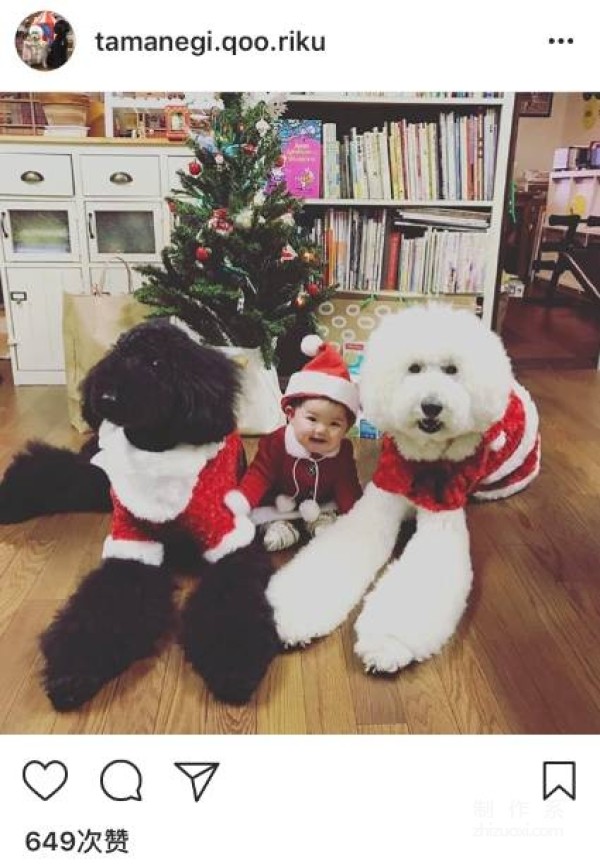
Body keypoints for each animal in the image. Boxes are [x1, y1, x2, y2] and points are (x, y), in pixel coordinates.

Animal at [0, 320, 282, 704]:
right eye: (119, 354)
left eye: (157, 364)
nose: (104, 397)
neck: (157, 449)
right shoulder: (132, 538)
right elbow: (107, 600)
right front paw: (71, 670)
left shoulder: (227, 536)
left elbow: (232, 596)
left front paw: (233, 666)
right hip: (103, 477)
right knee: (61, 468)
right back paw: (10, 498)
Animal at [264, 308, 540, 672]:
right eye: (414, 368)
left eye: (453, 370)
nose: (431, 406)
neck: (424, 458)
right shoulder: (383, 492)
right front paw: (291, 612)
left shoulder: (443, 508)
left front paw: (388, 643)